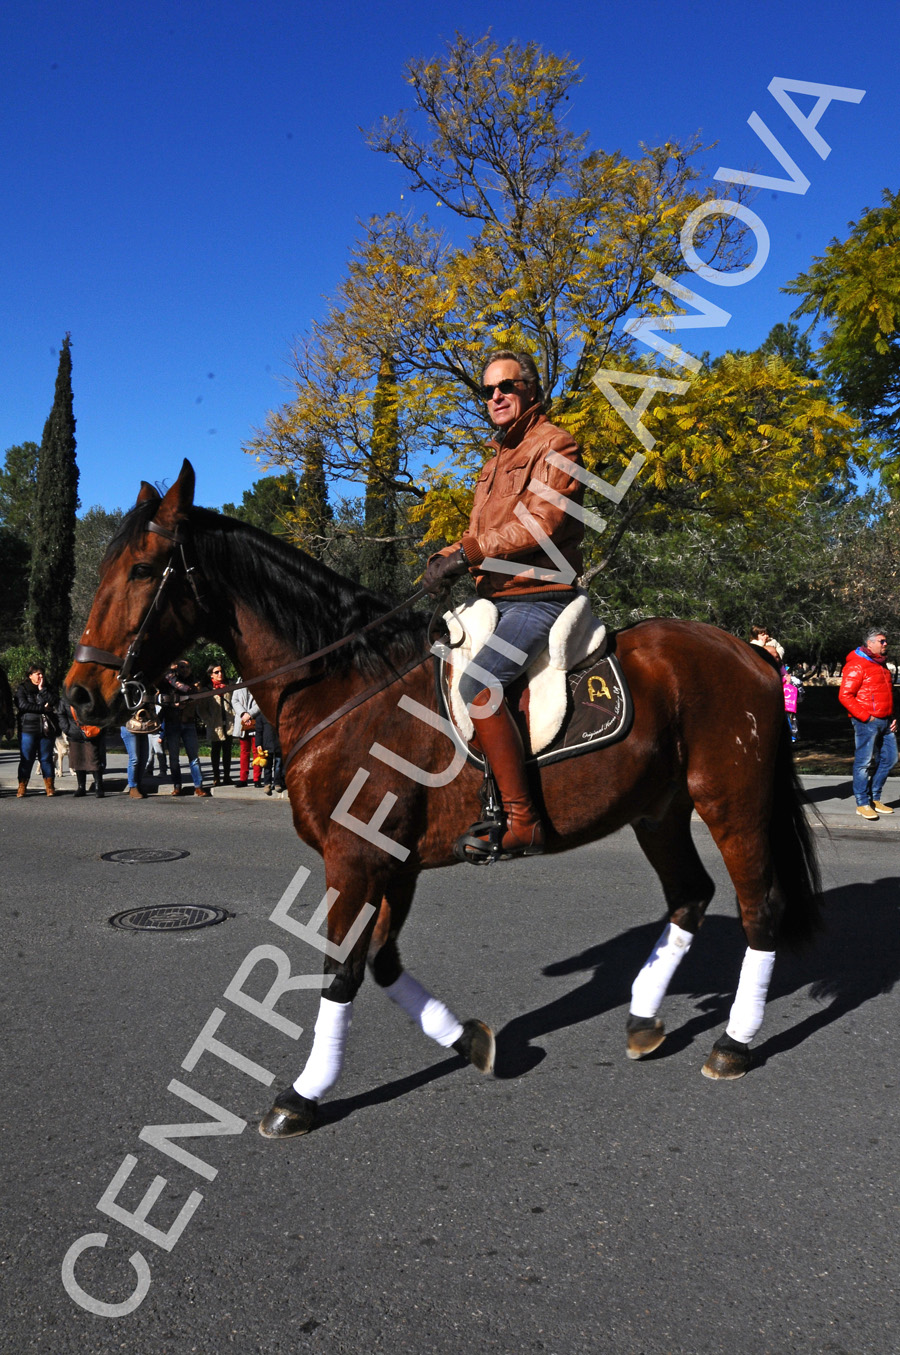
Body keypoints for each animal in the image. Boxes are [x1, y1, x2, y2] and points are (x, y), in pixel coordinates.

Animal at [66, 463, 818, 1132]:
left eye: (142, 570)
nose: (79, 696)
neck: (346, 685)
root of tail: (749, 652)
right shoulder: (391, 861)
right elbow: (382, 963)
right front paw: (469, 1041)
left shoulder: (354, 860)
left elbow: (340, 971)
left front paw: (303, 1094)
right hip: (658, 811)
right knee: (691, 896)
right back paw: (642, 1017)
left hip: (731, 803)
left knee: (761, 908)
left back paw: (734, 1041)